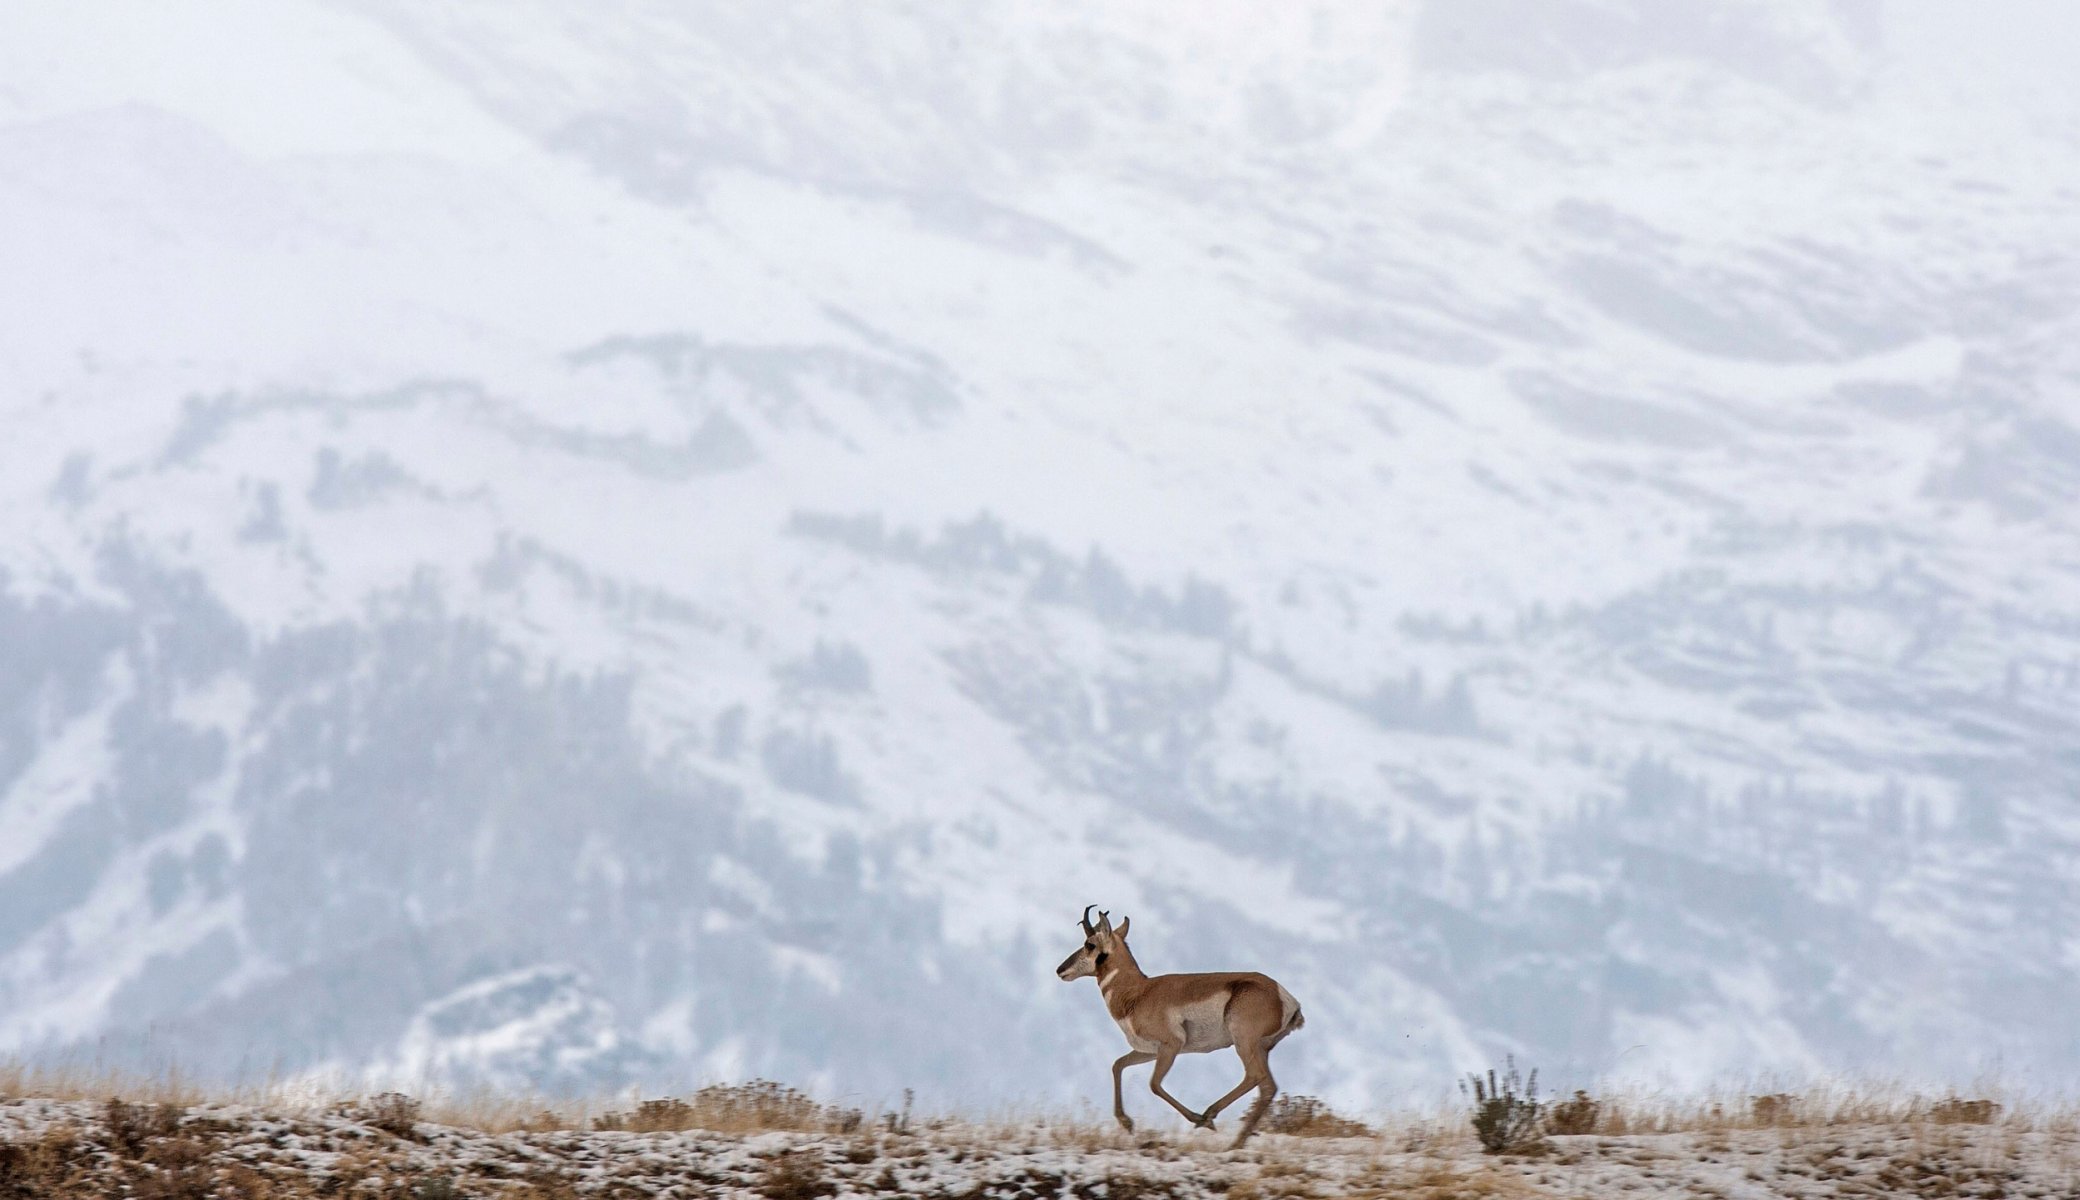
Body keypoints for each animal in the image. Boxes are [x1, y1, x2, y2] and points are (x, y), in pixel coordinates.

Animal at [1056, 905, 1304, 1147]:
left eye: (1089, 944)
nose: (1060, 970)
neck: (1139, 992)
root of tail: (1284, 996)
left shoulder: (1171, 1046)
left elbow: (1154, 1084)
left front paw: (1197, 1119)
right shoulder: (1147, 1051)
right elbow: (1117, 1065)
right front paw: (1126, 1123)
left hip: (1243, 1042)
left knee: (1254, 1076)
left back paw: (1210, 1118)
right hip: (1260, 1049)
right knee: (1267, 1087)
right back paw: (1236, 1143)